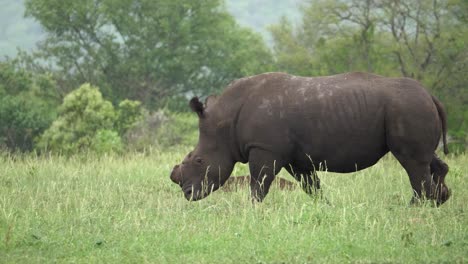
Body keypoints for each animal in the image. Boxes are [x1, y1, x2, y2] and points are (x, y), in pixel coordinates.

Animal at [169, 72, 450, 206]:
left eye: (199, 161)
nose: (187, 193)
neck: (225, 123)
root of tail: (431, 96)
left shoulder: (265, 148)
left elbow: (259, 184)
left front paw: (251, 211)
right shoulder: (295, 158)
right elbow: (311, 186)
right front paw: (326, 207)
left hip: (408, 108)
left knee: (412, 162)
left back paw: (414, 208)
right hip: (411, 107)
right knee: (426, 160)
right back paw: (438, 201)